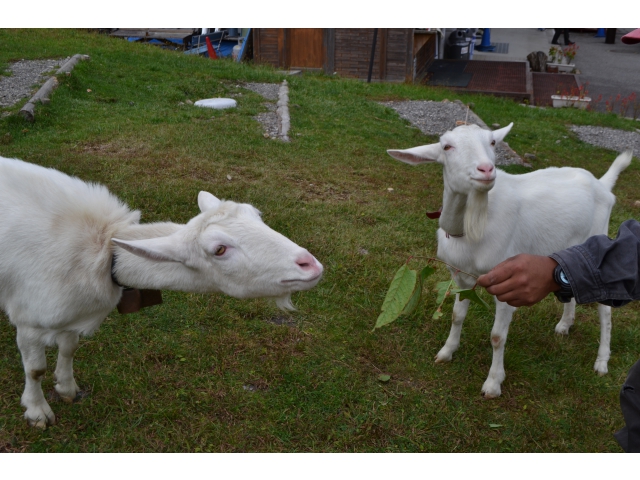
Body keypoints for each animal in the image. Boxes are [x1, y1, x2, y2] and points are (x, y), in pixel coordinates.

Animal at [0, 158, 322, 428]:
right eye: (219, 249)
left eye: (257, 215)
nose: (310, 264)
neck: (103, 251)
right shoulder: (29, 319)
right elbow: (35, 370)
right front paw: (37, 411)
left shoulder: (69, 313)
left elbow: (69, 347)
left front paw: (67, 388)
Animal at [388, 123, 632, 398]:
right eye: (446, 146)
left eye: (493, 142)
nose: (486, 169)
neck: (472, 226)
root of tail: (602, 184)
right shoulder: (460, 275)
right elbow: (456, 316)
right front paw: (446, 352)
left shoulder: (506, 281)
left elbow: (497, 336)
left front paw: (493, 383)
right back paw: (564, 325)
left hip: (598, 239)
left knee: (605, 309)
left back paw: (601, 361)